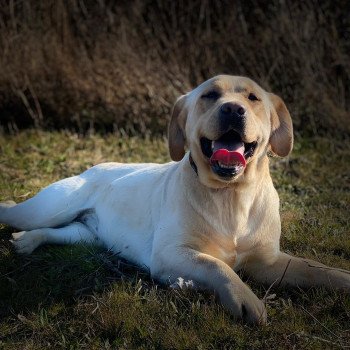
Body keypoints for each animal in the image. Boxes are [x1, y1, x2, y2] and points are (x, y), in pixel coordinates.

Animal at [0, 75, 348, 324]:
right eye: (210, 95)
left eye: (253, 98)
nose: (233, 109)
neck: (232, 195)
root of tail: (95, 166)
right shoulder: (170, 253)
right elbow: (217, 265)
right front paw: (245, 299)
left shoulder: (268, 260)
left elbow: (317, 269)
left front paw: (343, 279)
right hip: (47, 209)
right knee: (14, 212)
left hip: (85, 236)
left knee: (57, 233)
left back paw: (28, 240)